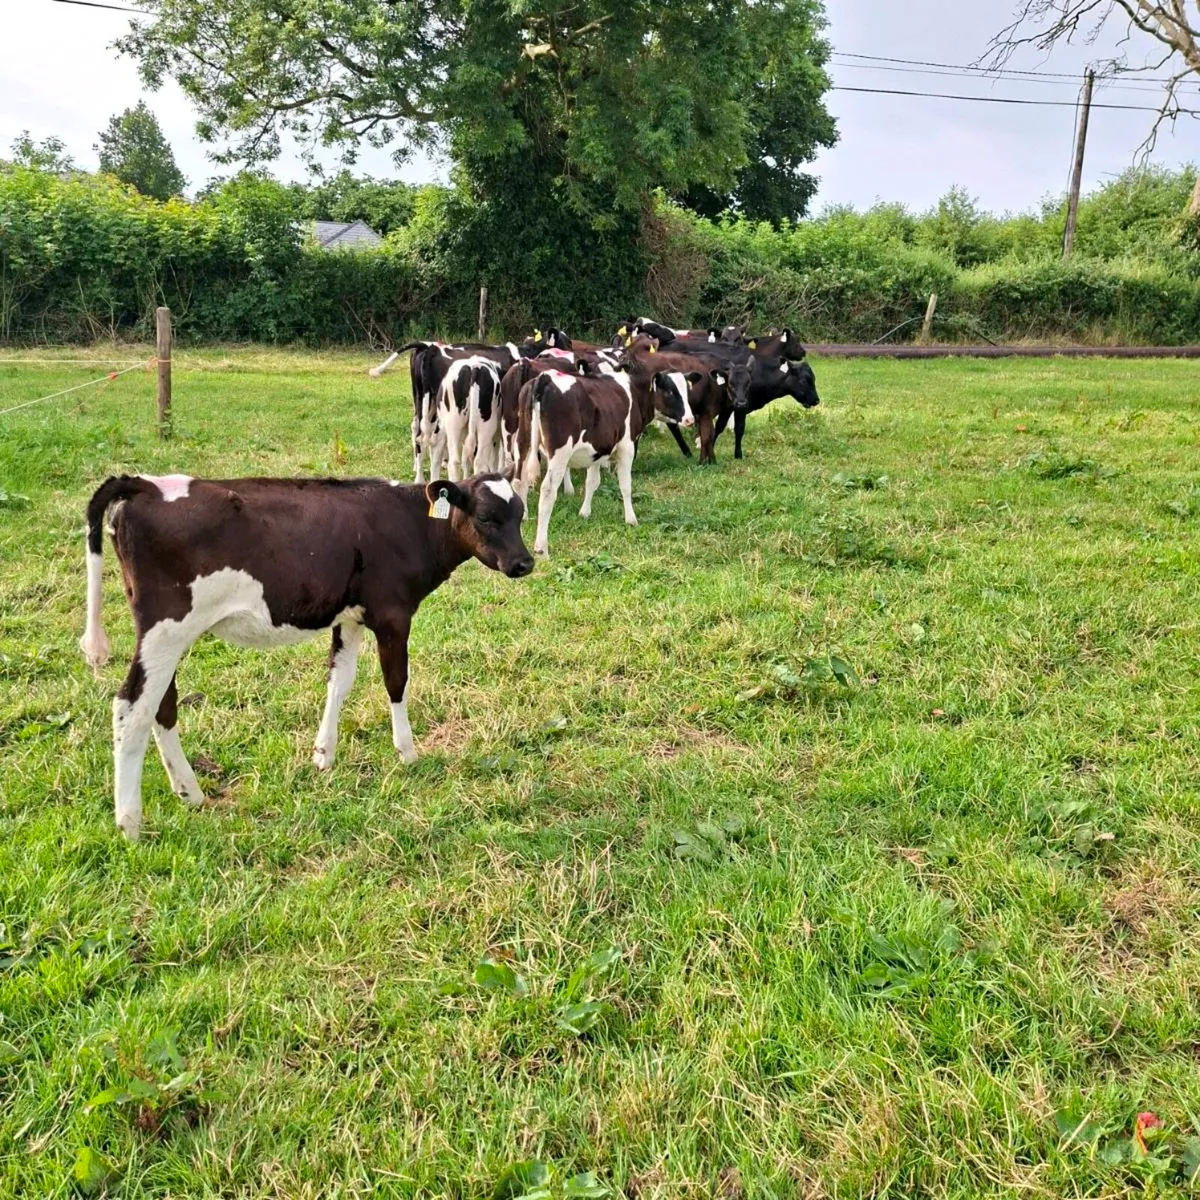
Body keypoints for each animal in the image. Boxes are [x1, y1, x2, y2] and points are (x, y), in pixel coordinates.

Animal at [79, 471, 534, 840]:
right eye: (487, 517)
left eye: (520, 515)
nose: (524, 562)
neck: (411, 523)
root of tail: (143, 483)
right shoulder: (393, 614)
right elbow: (396, 681)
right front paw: (406, 752)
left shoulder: (350, 616)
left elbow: (339, 681)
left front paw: (323, 754)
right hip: (166, 628)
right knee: (131, 707)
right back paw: (130, 823)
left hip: (164, 637)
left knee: (162, 705)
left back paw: (189, 792)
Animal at [515, 363, 692, 557]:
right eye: (669, 391)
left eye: (686, 389)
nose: (690, 419)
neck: (634, 391)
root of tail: (545, 377)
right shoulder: (627, 446)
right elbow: (625, 485)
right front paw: (631, 519)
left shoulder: (598, 450)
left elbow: (592, 482)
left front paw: (584, 513)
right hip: (559, 452)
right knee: (547, 491)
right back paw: (541, 548)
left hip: (522, 443)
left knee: (519, 482)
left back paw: (522, 518)